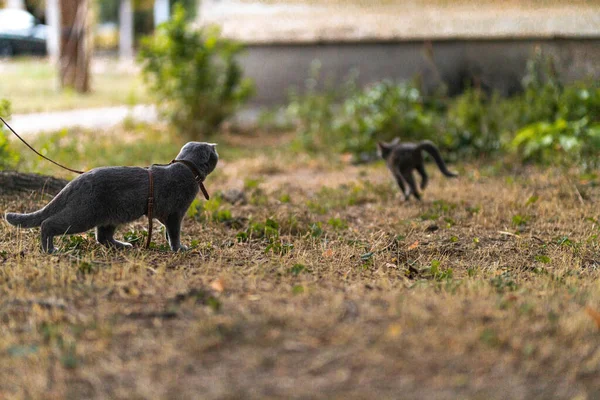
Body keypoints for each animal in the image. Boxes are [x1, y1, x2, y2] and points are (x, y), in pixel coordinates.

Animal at [3, 141, 219, 253]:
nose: (216, 149)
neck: (187, 169)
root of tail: (76, 181)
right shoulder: (175, 213)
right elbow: (174, 233)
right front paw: (179, 248)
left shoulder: (166, 216)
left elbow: (168, 232)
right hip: (83, 215)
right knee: (47, 224)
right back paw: (50, 250)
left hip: (110, 216)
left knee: (102, 237)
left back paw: (123, 245)